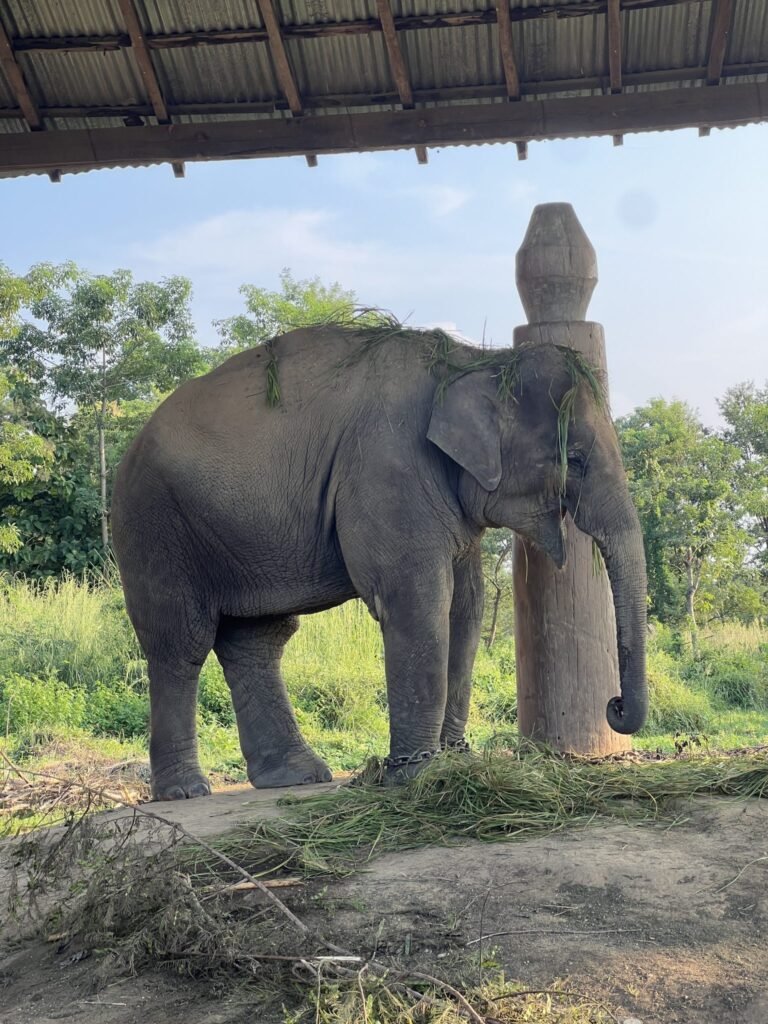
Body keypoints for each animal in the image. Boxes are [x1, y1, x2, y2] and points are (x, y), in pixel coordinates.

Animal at [111, 326, 647, 800]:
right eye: (574, 459)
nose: (615, 704)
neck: (473, 360)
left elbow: (465, 610)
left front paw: (454, 763)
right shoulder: (389, 469)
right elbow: (417, 603)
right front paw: (417, 776)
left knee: (257, 640)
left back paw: (298, 776)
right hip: (155, 527)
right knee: (181, 643)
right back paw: (185, 790)